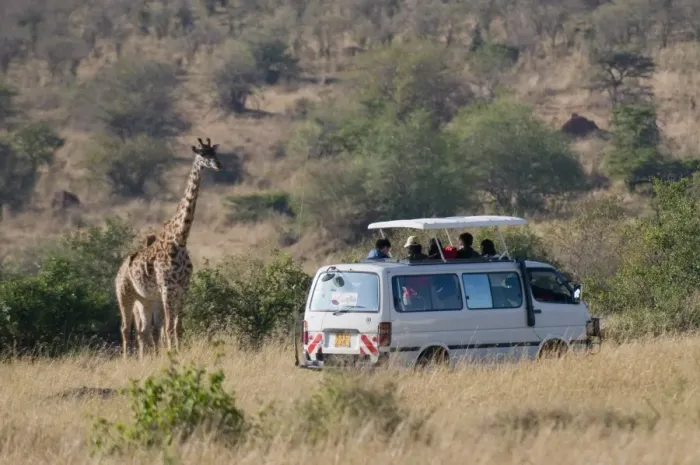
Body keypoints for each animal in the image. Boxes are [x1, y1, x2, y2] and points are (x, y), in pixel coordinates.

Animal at [115, 137, 222, 359]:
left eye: (215, 153)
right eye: (202, 154)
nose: (219, 165)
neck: (180, 239)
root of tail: (119, 270)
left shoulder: (183, 287)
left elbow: (177, 327)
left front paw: (177, 353)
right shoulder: (167, 288)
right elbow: (169, 327)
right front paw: (173, 354)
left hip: (145, 299)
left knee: (143, 330)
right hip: (125, 295)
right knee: (125, 328)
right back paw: (126, 359)